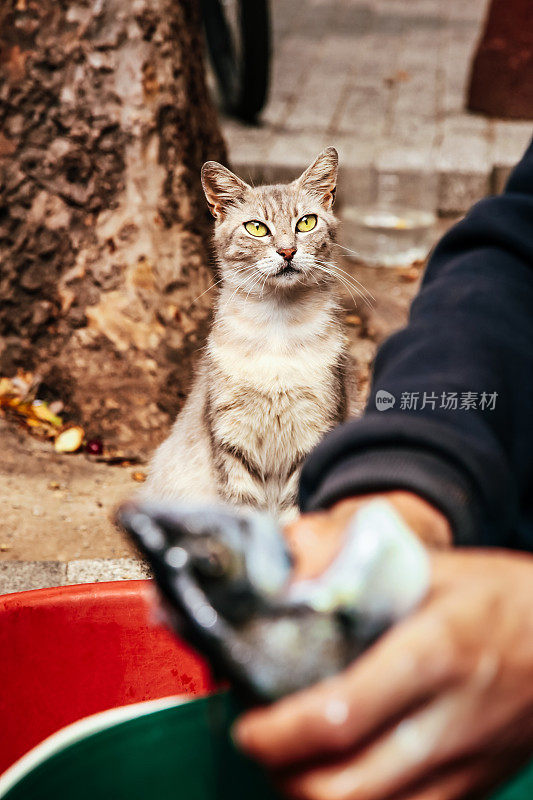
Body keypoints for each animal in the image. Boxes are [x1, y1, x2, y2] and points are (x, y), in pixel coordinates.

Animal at [142, 146, 350, 520]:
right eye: (256, 228)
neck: (278, 330)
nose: (287, 251)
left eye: (306, 222)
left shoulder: (317, 430)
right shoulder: (231, 440)